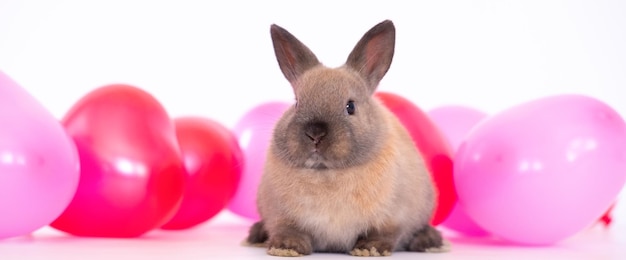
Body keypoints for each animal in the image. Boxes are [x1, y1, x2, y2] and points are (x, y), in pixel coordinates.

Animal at [244, 19, 448, 256]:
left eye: (350, 106)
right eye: (296, 103)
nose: (315, 133)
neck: (326, 173)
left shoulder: (394, 217)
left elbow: (386, 234)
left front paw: (370, 249)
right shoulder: (279, 215)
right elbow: (287, 229)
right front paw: (287, 247)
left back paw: (429, 242)